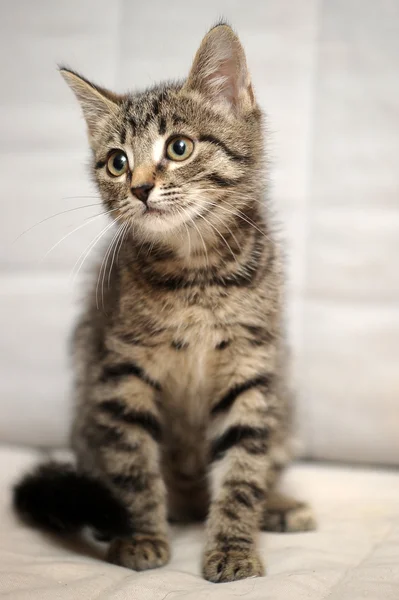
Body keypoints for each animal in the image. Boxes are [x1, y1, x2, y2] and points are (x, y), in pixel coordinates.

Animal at [13, 23, 316, 580]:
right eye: (117, 162)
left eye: (178, 147)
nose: (140, 188)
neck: (196, 274)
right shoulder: (121, 371)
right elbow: (133, 466)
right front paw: (142, 536)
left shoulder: (251, 366)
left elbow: (245, 465)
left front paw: (233, 548)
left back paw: (278, 505)